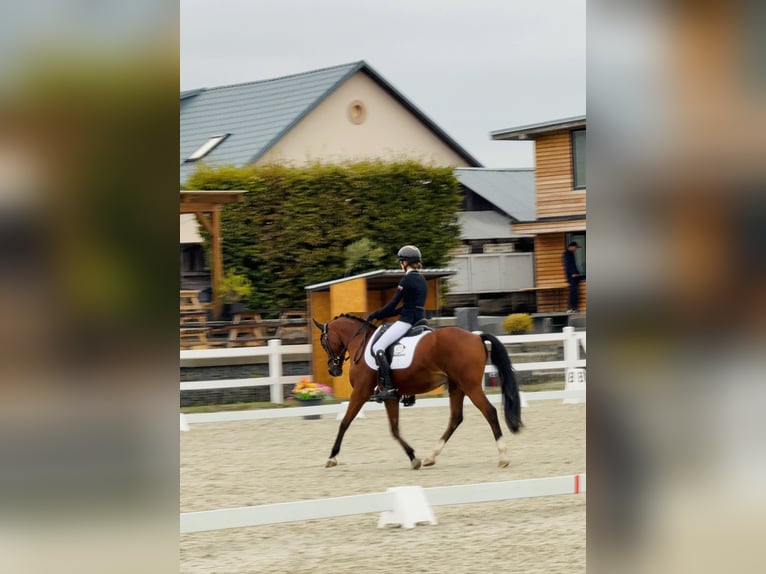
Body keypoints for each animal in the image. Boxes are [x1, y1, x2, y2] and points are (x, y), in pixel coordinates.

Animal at [313, 314, 522, 469]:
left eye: (323, 342)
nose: (333, 369)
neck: (361, 344)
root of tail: (475, 336)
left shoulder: (361, 392)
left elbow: (345, 423)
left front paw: (332, 457)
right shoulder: (390, 396)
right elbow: (394, 428)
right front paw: (413, 457)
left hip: (470, 385)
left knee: (489, 412)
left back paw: (503, 457)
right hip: (457, 386)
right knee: (455, 418)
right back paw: (431, 457)